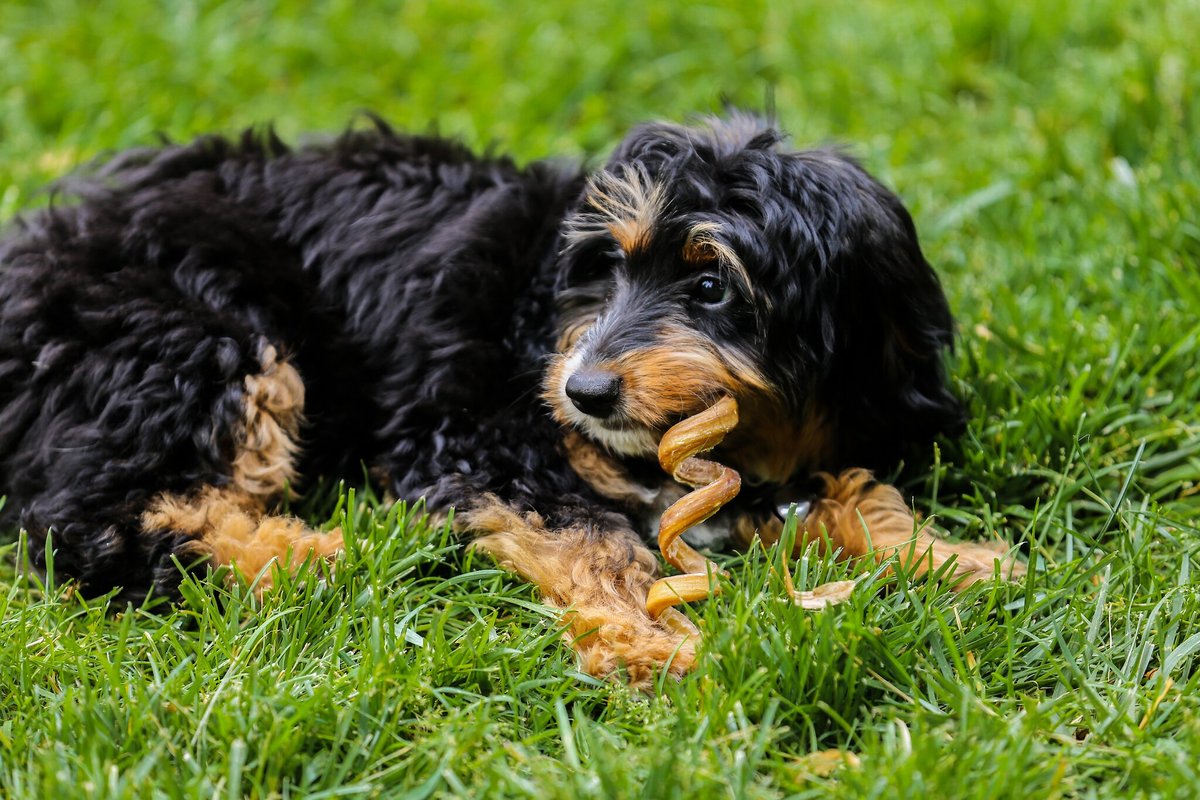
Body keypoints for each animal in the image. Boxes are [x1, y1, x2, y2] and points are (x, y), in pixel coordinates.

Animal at [0, 113, 1022, 690]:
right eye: (605, 268)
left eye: (711, 287)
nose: (583, 393)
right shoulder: (477, 433)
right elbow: (593, 537)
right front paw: (650, 641)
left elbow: (840, 488)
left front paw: (952, 557)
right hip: (196, 339)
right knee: (94, 521)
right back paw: (312, 557)